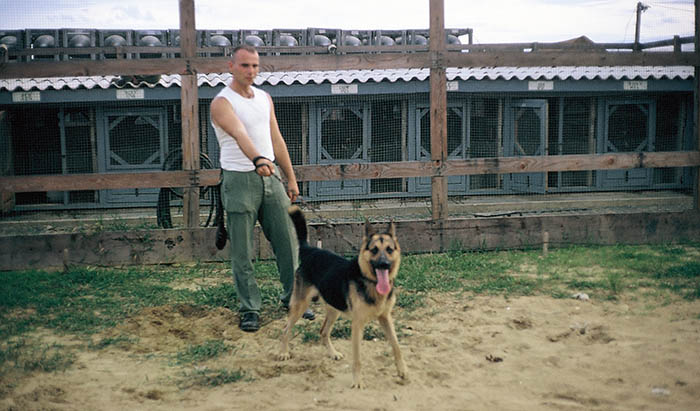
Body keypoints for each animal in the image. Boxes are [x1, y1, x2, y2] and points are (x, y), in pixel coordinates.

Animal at [278, 206, 408, 390]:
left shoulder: (386, 318)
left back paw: (333, 353)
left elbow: (396, 346)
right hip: (300, 306)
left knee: (323, 331)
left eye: (389, 249)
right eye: (374, 250)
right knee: (285, 329)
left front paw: (402, 370)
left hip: (334, 309)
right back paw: (283, 352)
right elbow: (358, 358)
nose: (384, 264)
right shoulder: (358, 324)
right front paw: (357, 381)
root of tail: (310, 250)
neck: (369, 280)